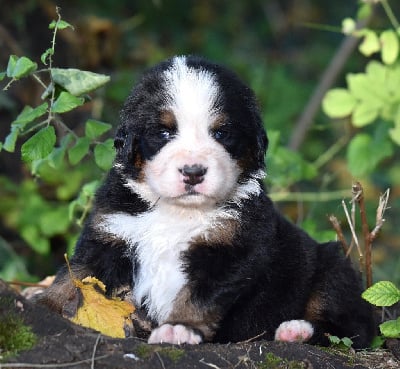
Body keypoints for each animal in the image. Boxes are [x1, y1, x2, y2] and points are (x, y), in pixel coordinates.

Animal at [40, 54, 376, 344]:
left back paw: (296, 330)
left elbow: (197, 297)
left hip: (333, 269)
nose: (193, 172)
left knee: (350, 330)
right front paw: (46, 302)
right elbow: (76, 274)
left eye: (222, 133)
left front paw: (179, 328)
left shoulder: (229, 249)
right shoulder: (110, 231)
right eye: (163, 132)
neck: (177, 212)